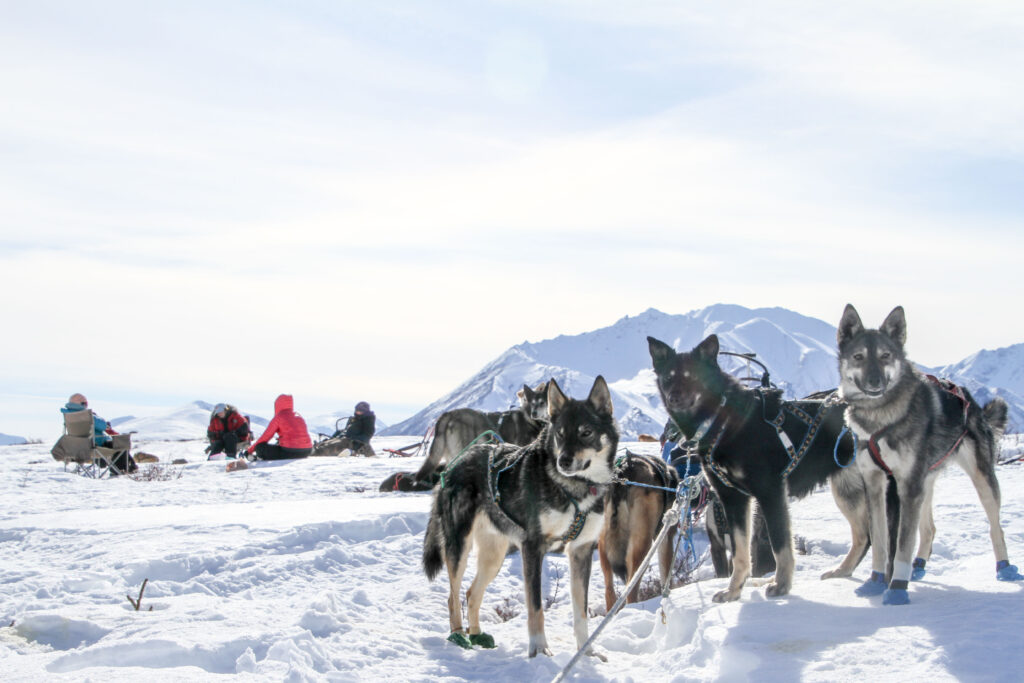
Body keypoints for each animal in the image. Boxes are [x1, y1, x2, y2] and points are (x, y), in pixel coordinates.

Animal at [598, 450, 675, 610]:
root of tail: (624, 472)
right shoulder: (665, 536)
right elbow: (666, 572)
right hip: (642, 548)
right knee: (631, 591)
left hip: (603, 545)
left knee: (609, 592)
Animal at [647, 333, 864, 602]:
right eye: (668, 377)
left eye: (693, 377)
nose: (673, 398)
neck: (724, 422)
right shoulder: (733, 499)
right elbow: (740, 552)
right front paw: (733, 590)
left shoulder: (770, 493)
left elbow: (780, 544)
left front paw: (781, 584)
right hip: (847, 489)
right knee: (865, 536)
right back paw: (843, 570)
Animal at [835, 305, 1019, 602]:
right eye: (858, 357)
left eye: (885, 356)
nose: (875, 381)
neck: (880, 418)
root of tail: (972, 401)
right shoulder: (875, 485)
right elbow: (881, 543)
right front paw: (875, 582)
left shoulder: (907, 486)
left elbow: (902, 543)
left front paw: (897, 589)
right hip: (924, 482)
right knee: (929, 528)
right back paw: (919, 566)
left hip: (980, 479)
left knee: (996, 527)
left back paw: (1005, 568)